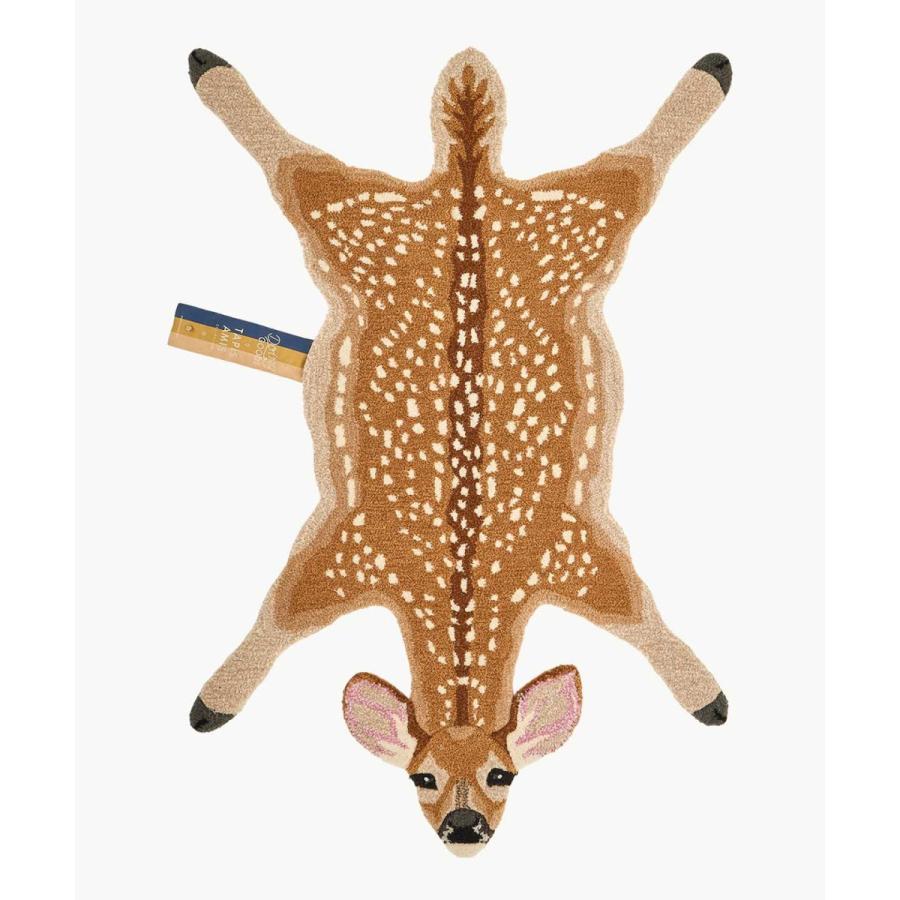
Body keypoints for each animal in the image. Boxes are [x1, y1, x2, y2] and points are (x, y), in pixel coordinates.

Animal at [185, 47, 732, 855]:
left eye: (506, 775)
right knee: (297, 164)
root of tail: (468, 176)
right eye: (422, 777)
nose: (464, 827)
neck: (464, 588)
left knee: (633, 166)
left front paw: (708, 696)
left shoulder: (577, 553)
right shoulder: (348, 553)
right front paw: (211, 701)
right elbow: (277, 617)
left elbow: (641, 616)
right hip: (363, 216)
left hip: (572, 218)